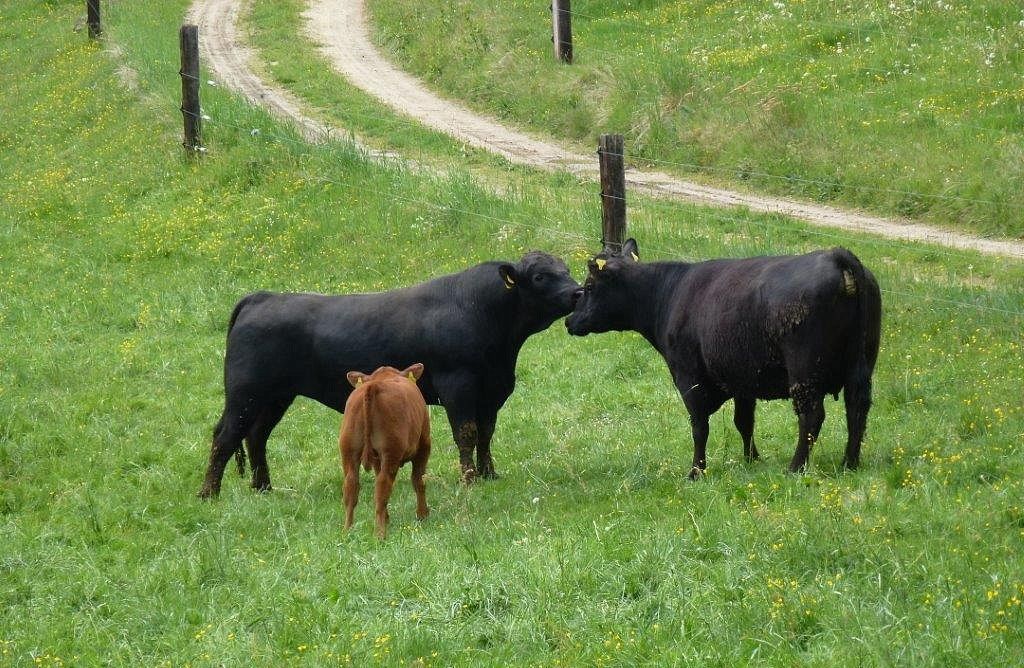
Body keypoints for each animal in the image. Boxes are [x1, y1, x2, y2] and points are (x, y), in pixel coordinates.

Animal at [198, 251, 582, 498]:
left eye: (566, 269)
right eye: (540, 276)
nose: (578, 292)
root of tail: (262, 297)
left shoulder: (492, 390)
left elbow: (486, 434)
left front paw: (490, 474)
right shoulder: (458, 386)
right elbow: (467, 434)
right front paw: (470, 480)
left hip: (275, 397)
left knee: (255, 436)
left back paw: (263, 487)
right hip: (245, 393)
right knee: (225, 436)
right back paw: (209, 494)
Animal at [340, 364, 431, 539]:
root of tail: (372, 385)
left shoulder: (377, 460)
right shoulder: (424, 446)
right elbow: (419, 480)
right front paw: (422, 514)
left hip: (349, 450)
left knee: (351, 486)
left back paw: (347, 531)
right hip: (391, 452)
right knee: (382, 487)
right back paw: (380, 534)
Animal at [565, 239, 881, 478]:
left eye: (590, 287)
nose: (569, 321)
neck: (669, 294)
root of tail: (835, 255)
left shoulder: (689, 379)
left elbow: (699, 427)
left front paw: (696, 471)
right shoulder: (743, 379)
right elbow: (744, 422)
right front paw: (752, 460)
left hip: (804, 373)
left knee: (812, 417)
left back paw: (795, 468)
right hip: (860, 365)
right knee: (857, 409)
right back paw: (849, 464)